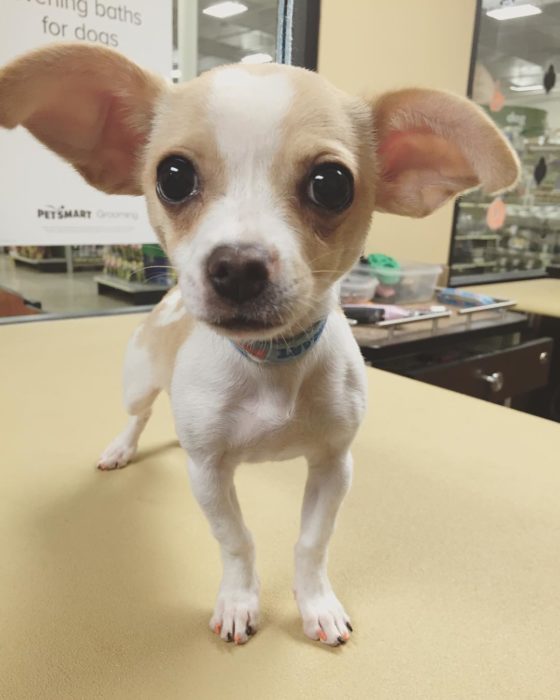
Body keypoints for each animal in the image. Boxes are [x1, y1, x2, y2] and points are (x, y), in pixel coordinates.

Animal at [0, 43, 520, 644]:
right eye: (173, 177)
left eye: (331, 183)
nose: (238, 266)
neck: (270, 361)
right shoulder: (208, 474)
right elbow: (236, 540)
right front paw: (238, 601)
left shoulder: (333, 466)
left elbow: (312, 543)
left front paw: (316, 603)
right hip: (139, 380)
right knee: (139, 414)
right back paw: (120, 448)